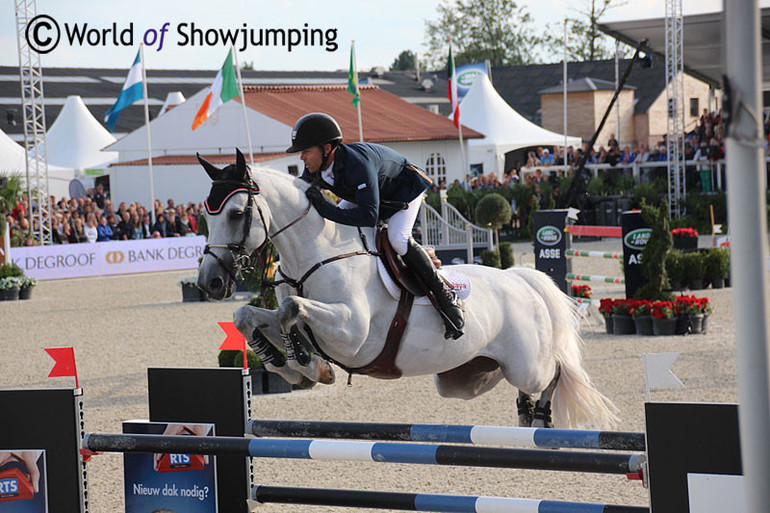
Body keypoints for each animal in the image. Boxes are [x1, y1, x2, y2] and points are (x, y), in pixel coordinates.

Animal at [198, 152, 616, 428]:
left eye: (236, 213)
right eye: (205, 215)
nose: (209, 283)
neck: (318, 252)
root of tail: (519, 278)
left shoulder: (352, 333)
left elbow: (292, 311)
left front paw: (309, 363)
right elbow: (248, 315)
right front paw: (288, 365)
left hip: (526, 365)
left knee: (555, 372)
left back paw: (543, 417)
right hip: (469, 376)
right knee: (519, 387)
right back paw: (528, 419)